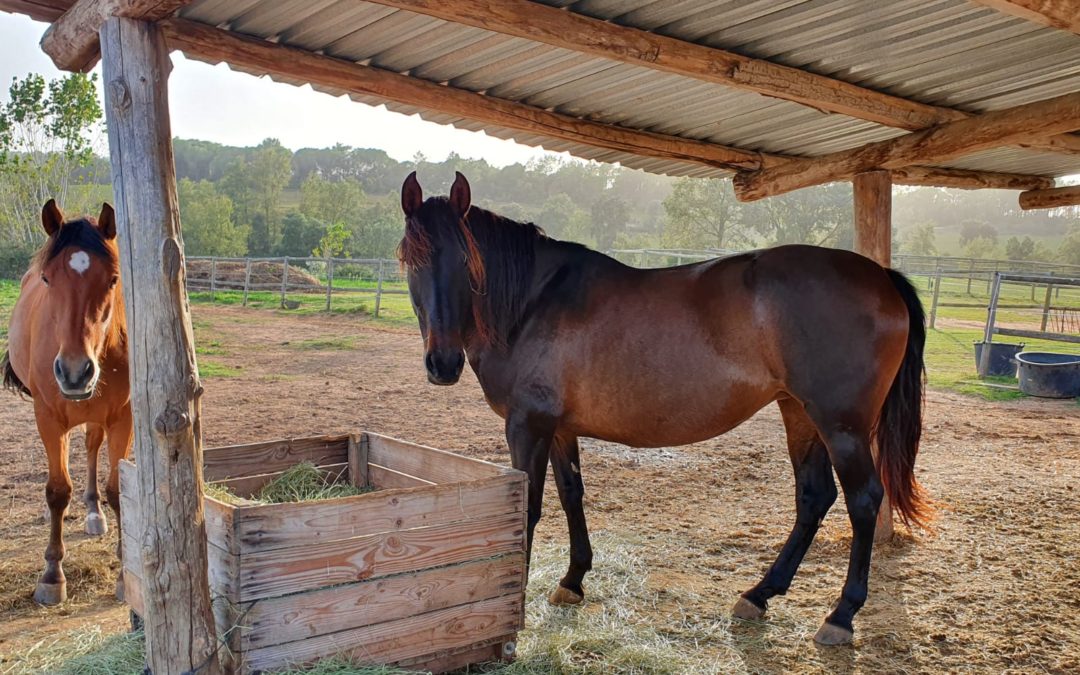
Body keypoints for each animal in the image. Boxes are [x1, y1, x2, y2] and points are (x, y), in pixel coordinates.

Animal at [1, 199, 131, 604]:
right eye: (47, 280)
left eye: (113, 279)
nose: (75, 372)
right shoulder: (48, 416)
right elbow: (57, 490)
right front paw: (52, 574)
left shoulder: (122, 417)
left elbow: (119, 489)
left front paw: (127, 572)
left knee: (89, 448)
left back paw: (93, 511)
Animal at [397, 170, 928, 643]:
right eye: (409, 259)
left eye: (467, 260)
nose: (442, 363)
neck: (534, 302)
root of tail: (880, 276)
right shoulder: (559, 427)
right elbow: (571, 494)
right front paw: (573, 581)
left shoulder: (527, 426)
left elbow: (527, 507)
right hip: (799, 413)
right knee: (814, 497)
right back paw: (760, 594)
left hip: (841, 425)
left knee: (864, 500)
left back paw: (841, 616)